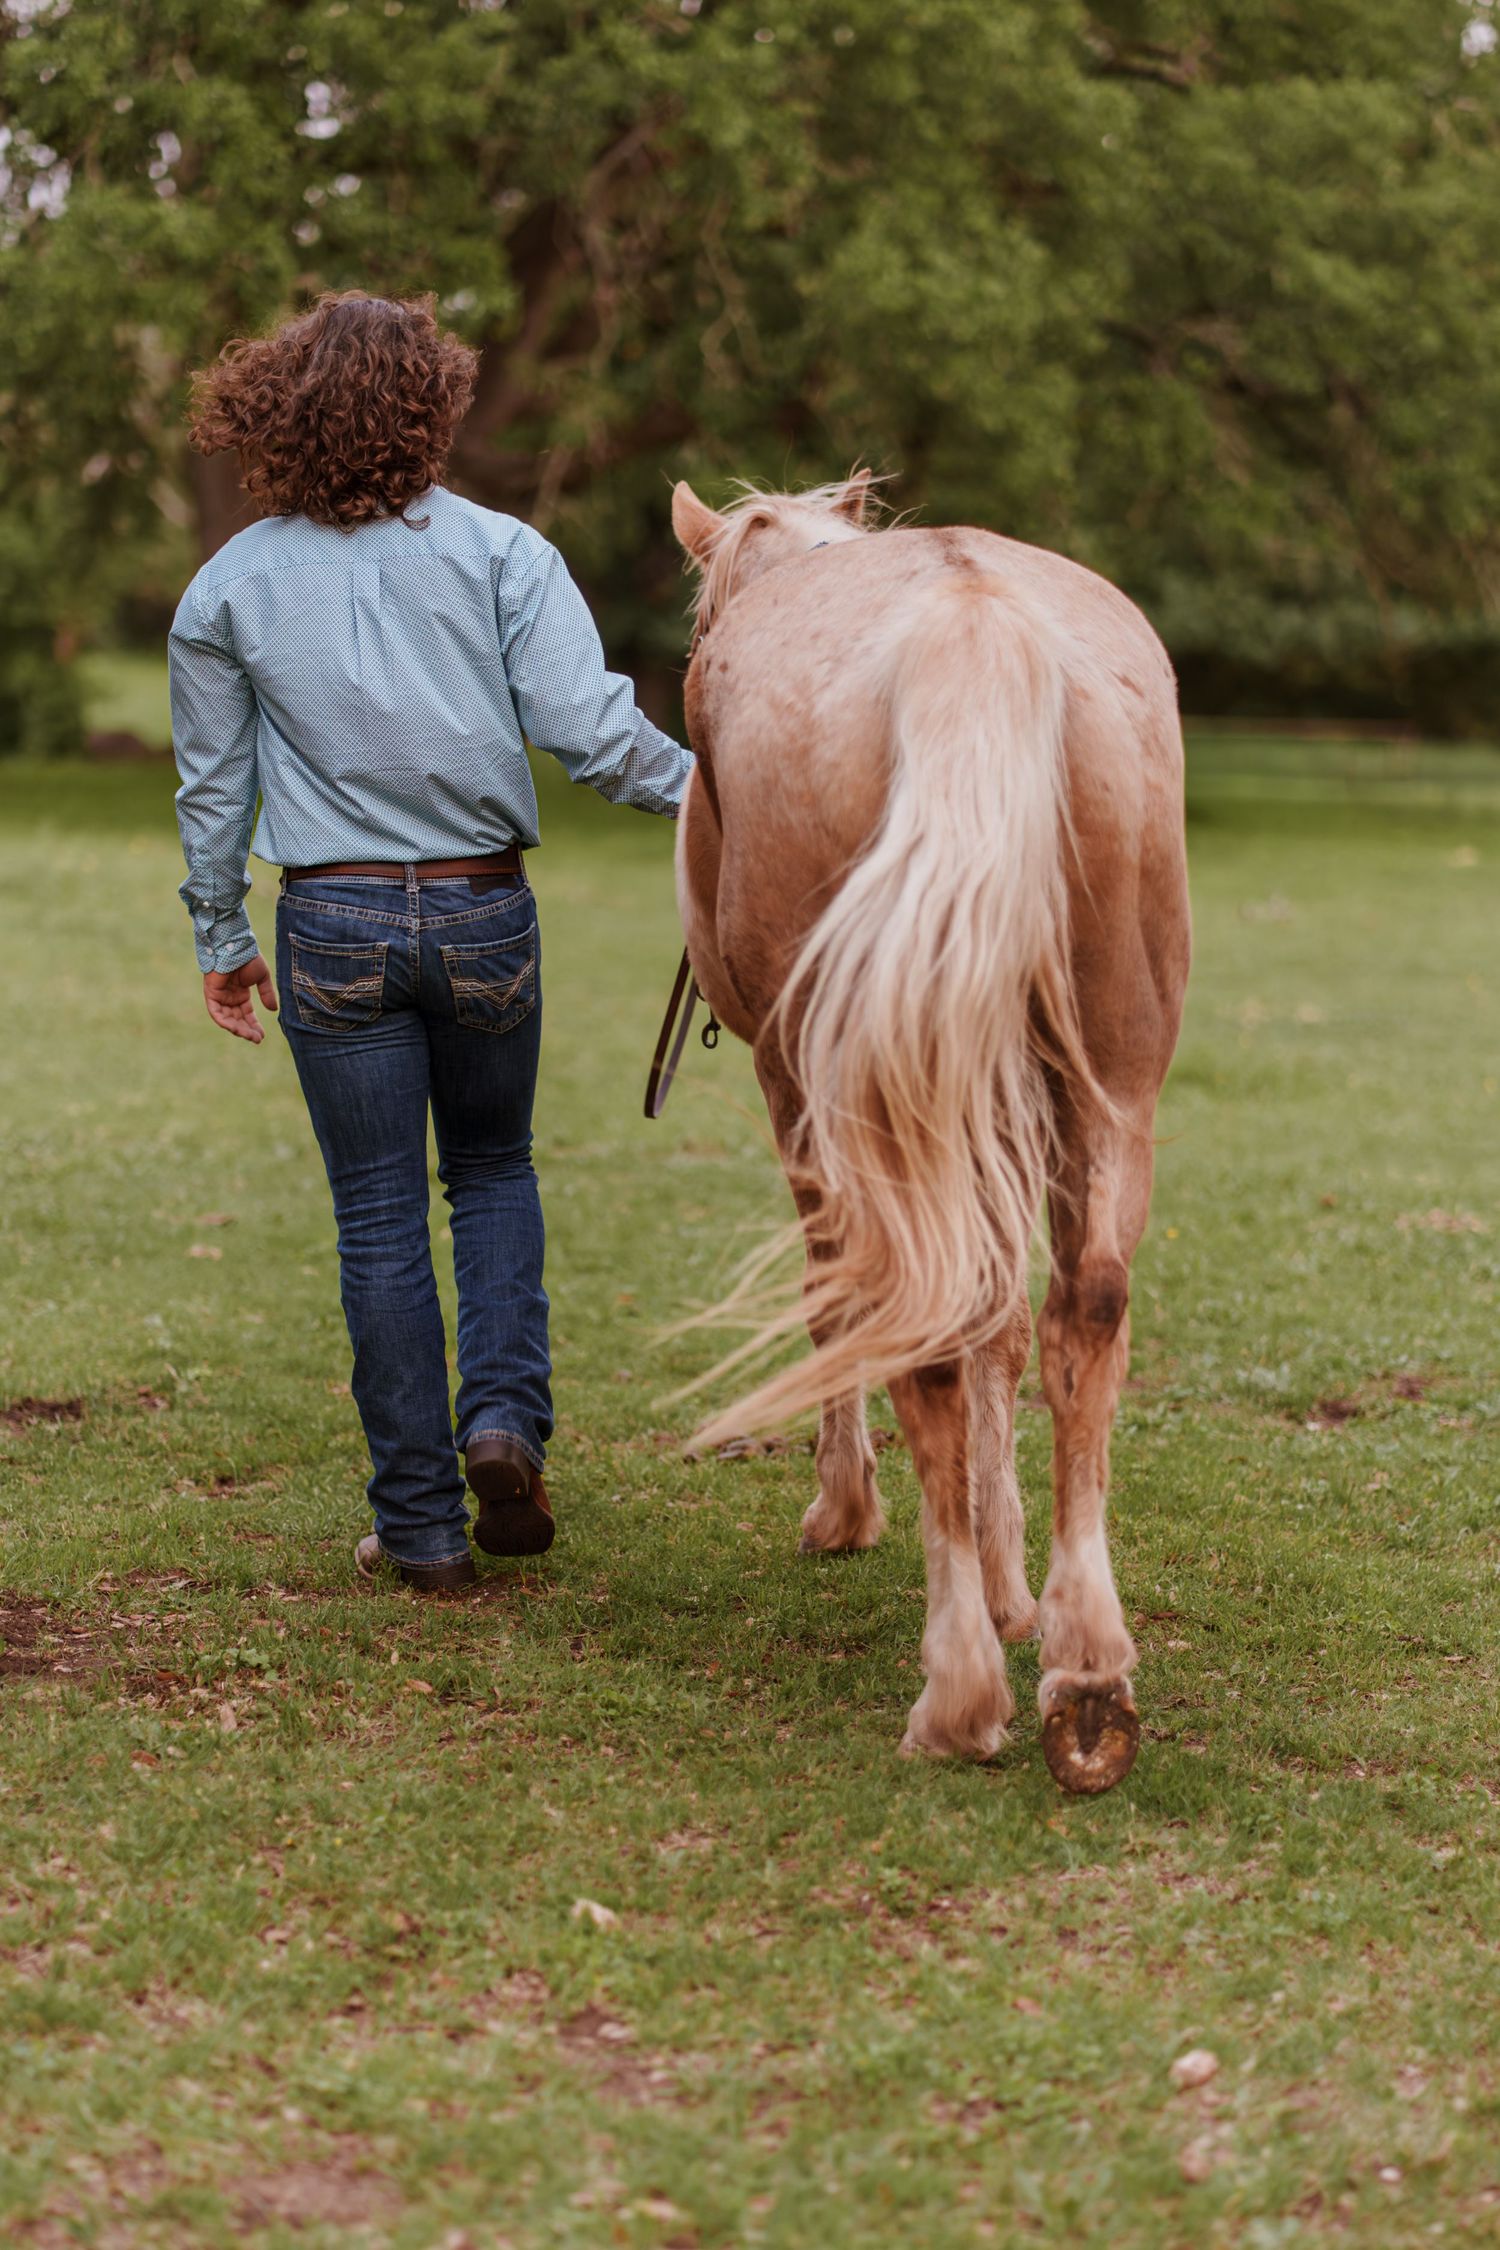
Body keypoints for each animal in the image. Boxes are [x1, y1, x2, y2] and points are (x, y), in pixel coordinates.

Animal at [667, 473, 1191, 1794]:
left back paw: (958, 1690)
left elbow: (849, 1305)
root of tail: (971, 621)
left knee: (927, 1330)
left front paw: (848, 1513)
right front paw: (1017, 1591)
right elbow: (1005, 1322)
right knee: (1083, 1309)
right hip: (1108, 1077)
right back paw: (1085, 1667)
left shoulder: (796, 1086)